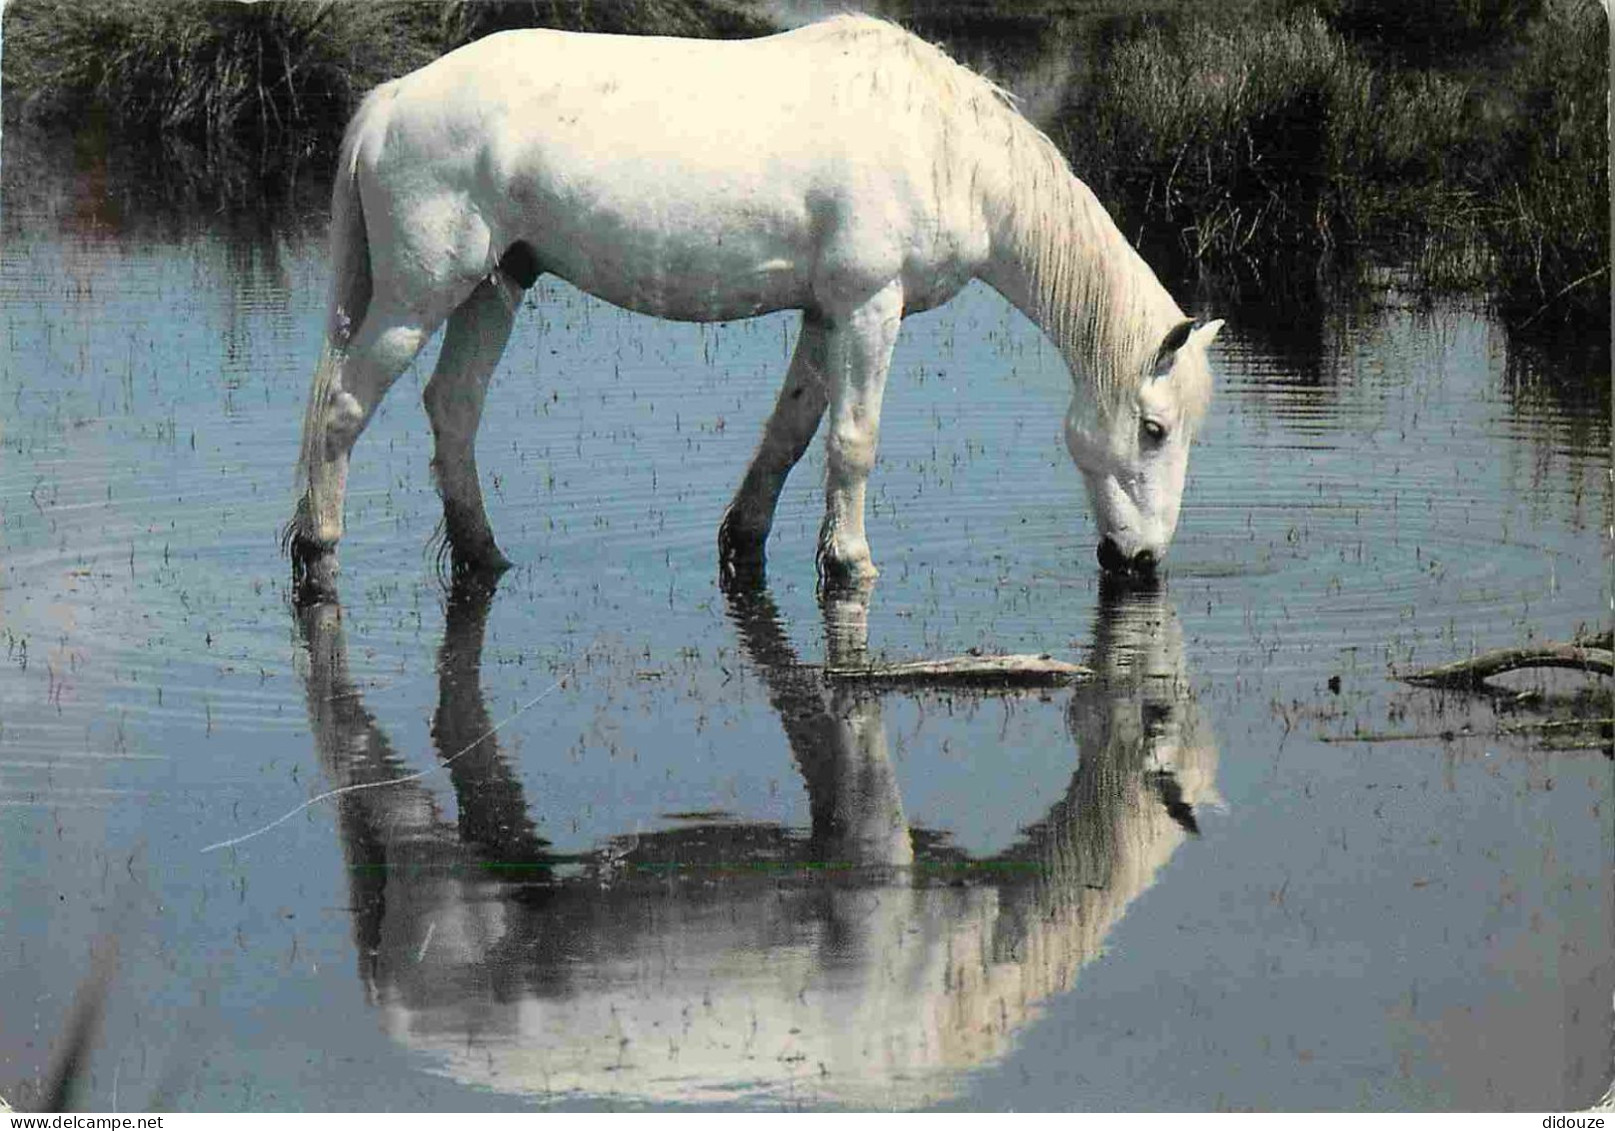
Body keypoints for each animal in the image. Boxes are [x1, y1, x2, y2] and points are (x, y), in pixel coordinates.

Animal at [287, 15, 1220, 601]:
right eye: (1153, 429)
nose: (1140, 562)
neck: (946, 147)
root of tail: (392, 100)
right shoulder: (869, 308)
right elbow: (852, 444)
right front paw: (851, 565)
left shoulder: (825, 314)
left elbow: (791, 434)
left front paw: (745, 541)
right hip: (418, 294)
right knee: (343, 412)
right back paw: (318, 556)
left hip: (493, 287)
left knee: (453, 411)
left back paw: (485, 556)